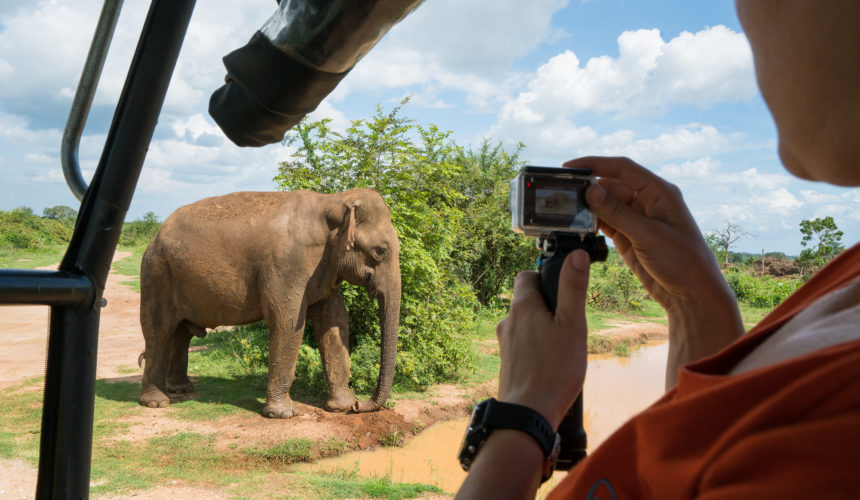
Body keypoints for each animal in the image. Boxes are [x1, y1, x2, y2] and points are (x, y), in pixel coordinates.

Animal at [138, 188, 400, 418]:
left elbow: (335, 324)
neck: (333, 201)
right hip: (156, 274)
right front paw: (283, 415)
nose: (359, 405)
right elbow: (288, 324)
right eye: (380, 251)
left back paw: (181, 389)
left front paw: (341, 407)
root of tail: (156, 234)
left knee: (181, 334)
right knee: (159, 332)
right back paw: (157, 402)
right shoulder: (286, 265)